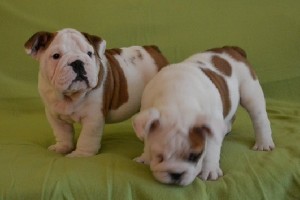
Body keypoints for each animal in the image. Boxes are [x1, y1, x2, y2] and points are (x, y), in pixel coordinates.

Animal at [23, 28, 169, 157]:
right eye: (56, 56)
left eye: (89, 53)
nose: (77, 62)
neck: (71, 96)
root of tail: (153, 50)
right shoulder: (54, 116)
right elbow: (62, 133)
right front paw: (62, 148)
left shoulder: (93, 118)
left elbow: (87, 138)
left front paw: (80, 154)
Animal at [132, 46, 276, 186]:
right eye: (159, 157)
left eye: (194, 156)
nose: (176, 174)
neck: (177, 100)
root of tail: (232, 49)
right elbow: (147, 139)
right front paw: (145, 157)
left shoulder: (209, 126)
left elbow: (211, 150)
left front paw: (210, 170)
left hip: (250, 92)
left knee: (259, 118)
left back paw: (264, 142)